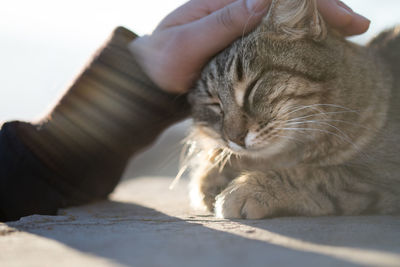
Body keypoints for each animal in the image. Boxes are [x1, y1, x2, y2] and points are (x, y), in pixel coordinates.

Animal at [184, 0, 400, 219]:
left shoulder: (380, 174)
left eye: (252, 87)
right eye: (214, 104)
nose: (235, 138)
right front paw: (212, 173)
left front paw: (249, 188)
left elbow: (317, 176)